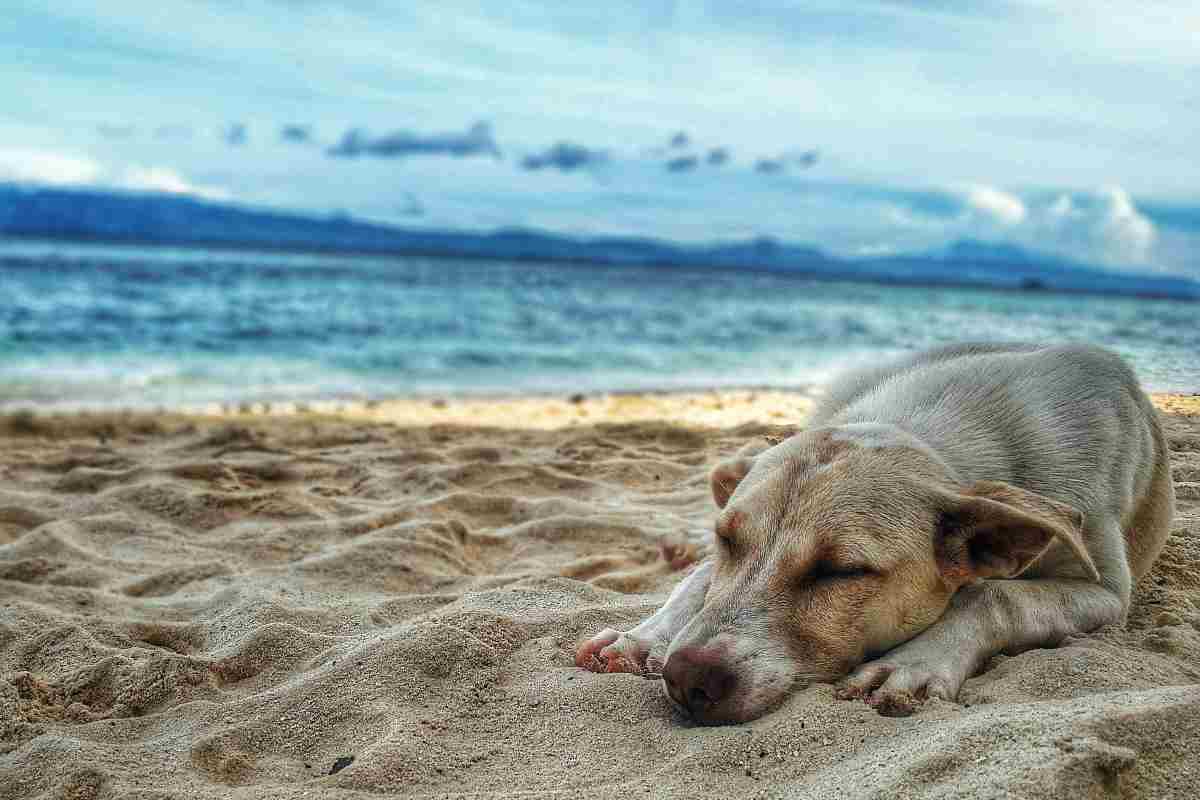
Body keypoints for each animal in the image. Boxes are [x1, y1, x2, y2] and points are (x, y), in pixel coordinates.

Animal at [576, 345, 1176, 724]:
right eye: (728, 541)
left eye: (841, 571)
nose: (686, 678)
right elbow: (702, 580)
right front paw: (645, 636)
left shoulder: (1105, 591)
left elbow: (993, 592)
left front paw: (915, 662)